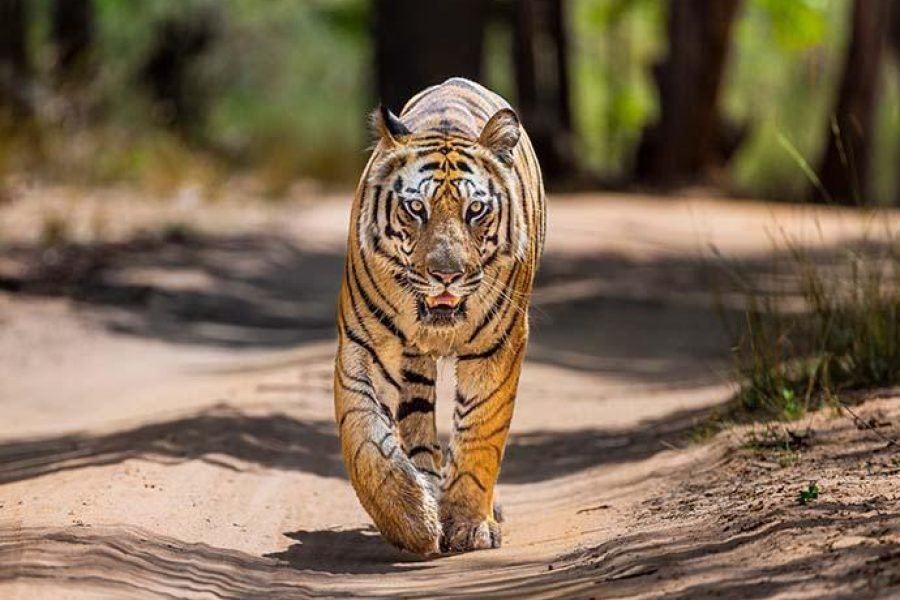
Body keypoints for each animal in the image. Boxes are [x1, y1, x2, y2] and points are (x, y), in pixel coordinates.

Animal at [334, 77, 545, 555]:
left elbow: (481, 433)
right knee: (416, 426)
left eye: (475, 210)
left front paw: (468, 523)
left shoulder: (499, 346)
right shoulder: (362, 343)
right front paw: (410, 519)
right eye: (416, 209)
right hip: (411, 364)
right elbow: (363, 435)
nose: (446, 275)